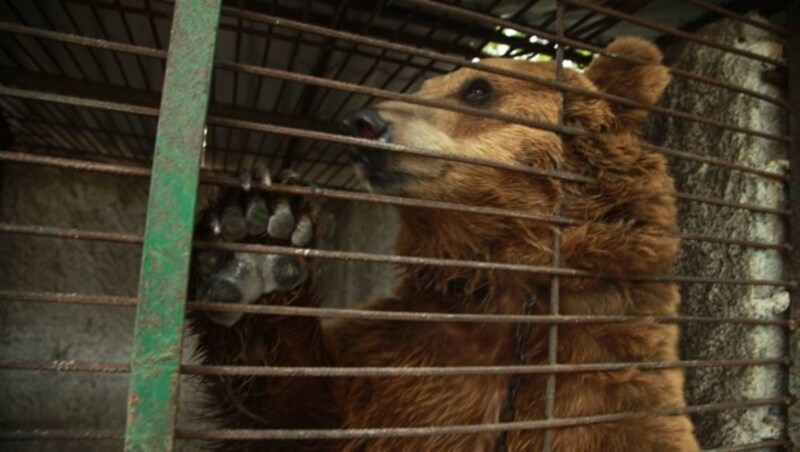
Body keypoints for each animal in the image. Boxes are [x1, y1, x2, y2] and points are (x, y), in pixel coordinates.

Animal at [191, 37, 696, 450]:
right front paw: (256, 231)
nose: (361, 123)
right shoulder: (409, 357)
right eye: (421, 88)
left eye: (478, 89)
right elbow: (300, 408)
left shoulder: (609, 383)